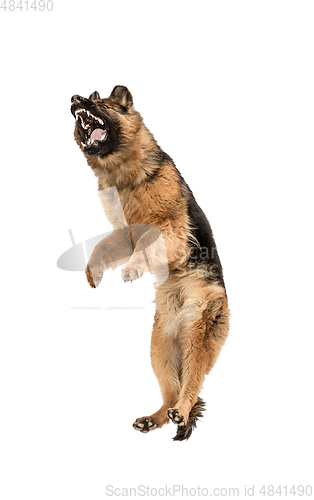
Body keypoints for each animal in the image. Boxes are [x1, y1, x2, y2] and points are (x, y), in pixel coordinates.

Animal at [70, 87, 229, 442]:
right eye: (84, 99)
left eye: (99, 104)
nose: (74, 100)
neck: (125, 175)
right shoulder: (124, 232)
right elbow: (103, 246)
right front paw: (93, 271)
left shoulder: (169, 228)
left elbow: (147, 247)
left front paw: (132, 269)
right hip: (161, 346)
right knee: (171, 391)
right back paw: (154, 419)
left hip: (197, 333)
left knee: (191, 385)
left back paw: (181, 411)